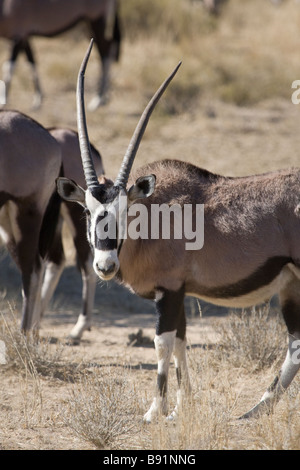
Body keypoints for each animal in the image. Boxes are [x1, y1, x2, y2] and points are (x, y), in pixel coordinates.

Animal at [58, 41, 300, 422]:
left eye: (127, 211)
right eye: (87, 211)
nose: (105, 266)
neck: (153, 216)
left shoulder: (168, 291)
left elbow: (163, 344)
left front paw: (153, 412)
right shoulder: (180, 292)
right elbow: (182, 344)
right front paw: (181, 408)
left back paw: (255, 409)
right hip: (290, 283)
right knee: (296, 343)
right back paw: (255, 410)